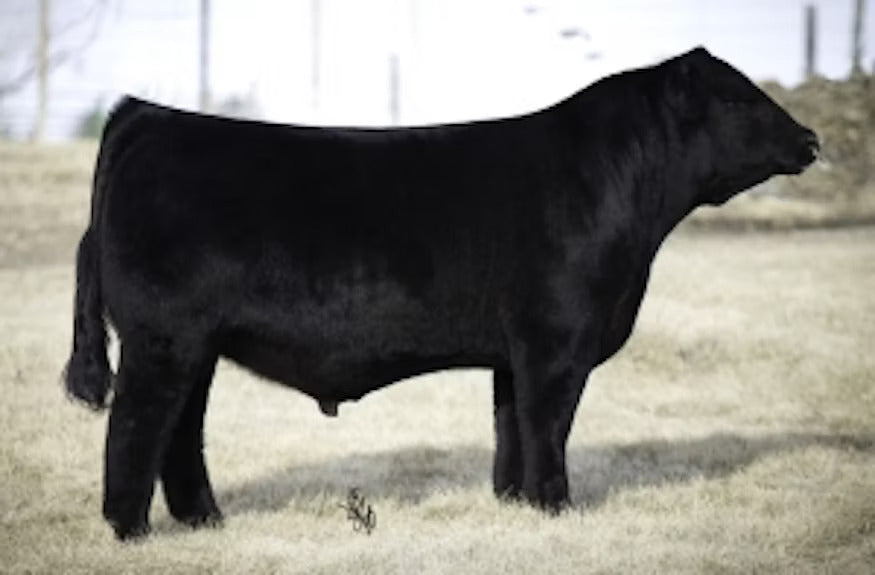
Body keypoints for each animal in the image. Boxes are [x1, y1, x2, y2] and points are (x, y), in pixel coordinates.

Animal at [64, 47, 818, 540]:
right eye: (738, 97)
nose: (810, 138)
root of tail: (145, 116)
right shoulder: (556, 340)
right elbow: (550, 425)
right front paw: (558, 507)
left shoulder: (515, 351)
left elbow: (511, 426)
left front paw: (515, 504)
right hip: (163, 339)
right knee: (136, 426)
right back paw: (131, 530)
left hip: (196, 345)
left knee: (179, 431)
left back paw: (205, 522)